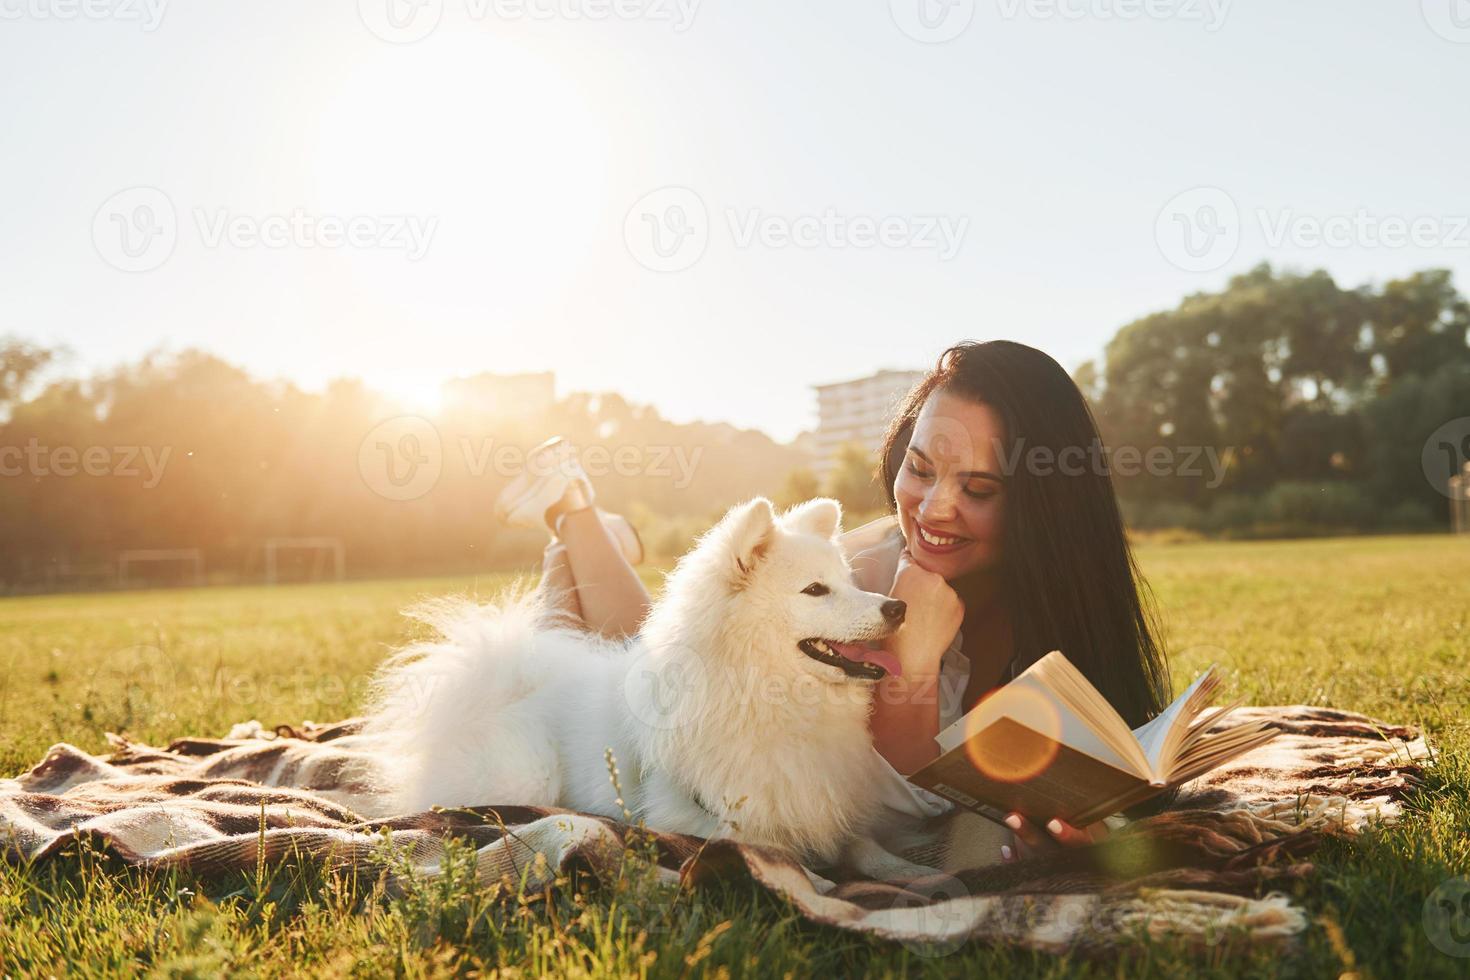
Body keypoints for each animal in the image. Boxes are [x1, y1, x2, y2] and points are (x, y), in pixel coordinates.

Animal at [370, 499, 929, 875]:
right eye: (815, 590)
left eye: (850, 583)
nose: (898, 607)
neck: (762, 693)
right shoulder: (710, 821)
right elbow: (786, 857)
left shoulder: (829, 801)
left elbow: (864, 846)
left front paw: (912, 873)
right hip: (524, 775)